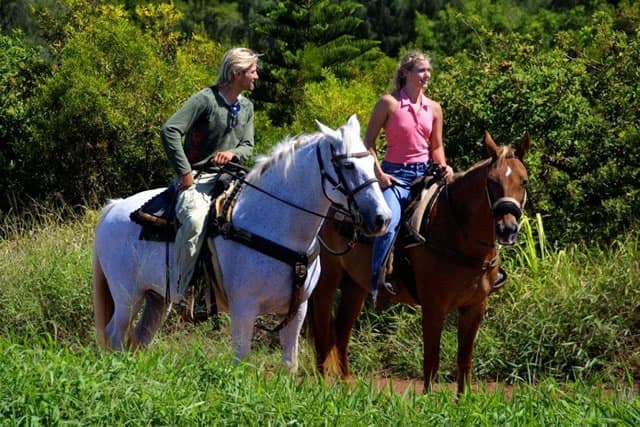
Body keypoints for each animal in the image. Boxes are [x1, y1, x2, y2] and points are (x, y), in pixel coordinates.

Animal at [92, 114, 392, 372]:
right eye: (348, 165)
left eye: (371, 163)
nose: (382, 218)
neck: (275, 225)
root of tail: (115, 207)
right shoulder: (243, 309)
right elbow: (241, 359)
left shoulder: (298, 309)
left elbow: (290, 364)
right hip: (126, 294)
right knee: (115, 334)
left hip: (157, 297)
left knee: (140, 337)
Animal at [308, 131, 530, 392]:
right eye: (492, 181)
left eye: (524, 182)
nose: (507, 229)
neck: (457, 232)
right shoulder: (434, 306)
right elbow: (432, 360)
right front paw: (429, 399)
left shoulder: (475, 307)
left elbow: (464, 360)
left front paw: (464, 399)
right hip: (326, 281)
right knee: (322, 329)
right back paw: (322, 384)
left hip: (355, 286)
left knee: (342, 332)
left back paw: (348, 387)